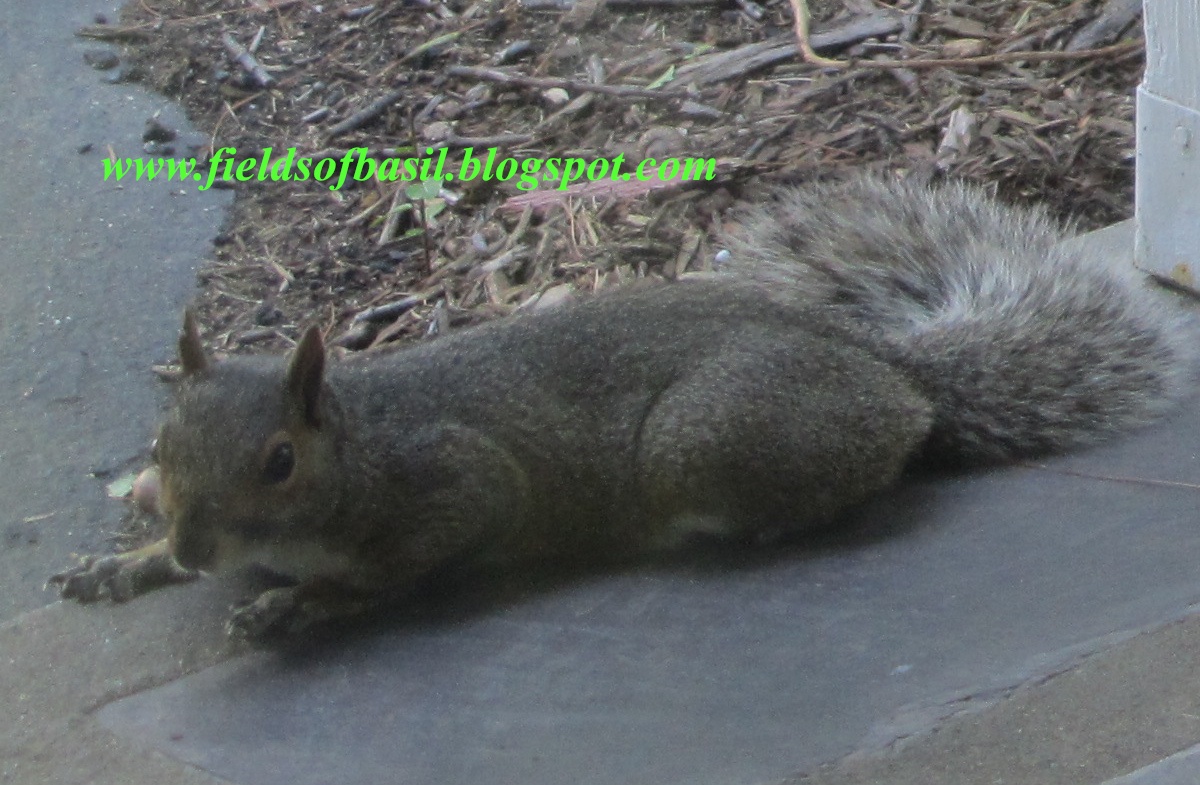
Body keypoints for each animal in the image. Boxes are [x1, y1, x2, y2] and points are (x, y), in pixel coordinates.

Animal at [50, 174, 1197, 639]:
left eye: (280, 461)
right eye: (161, 438)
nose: (195, 546)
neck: (358, 448)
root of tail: (880, 363)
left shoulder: (452, 485)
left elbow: (399, 568)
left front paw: (303, 605)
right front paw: (128, 565)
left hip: (704, 438)